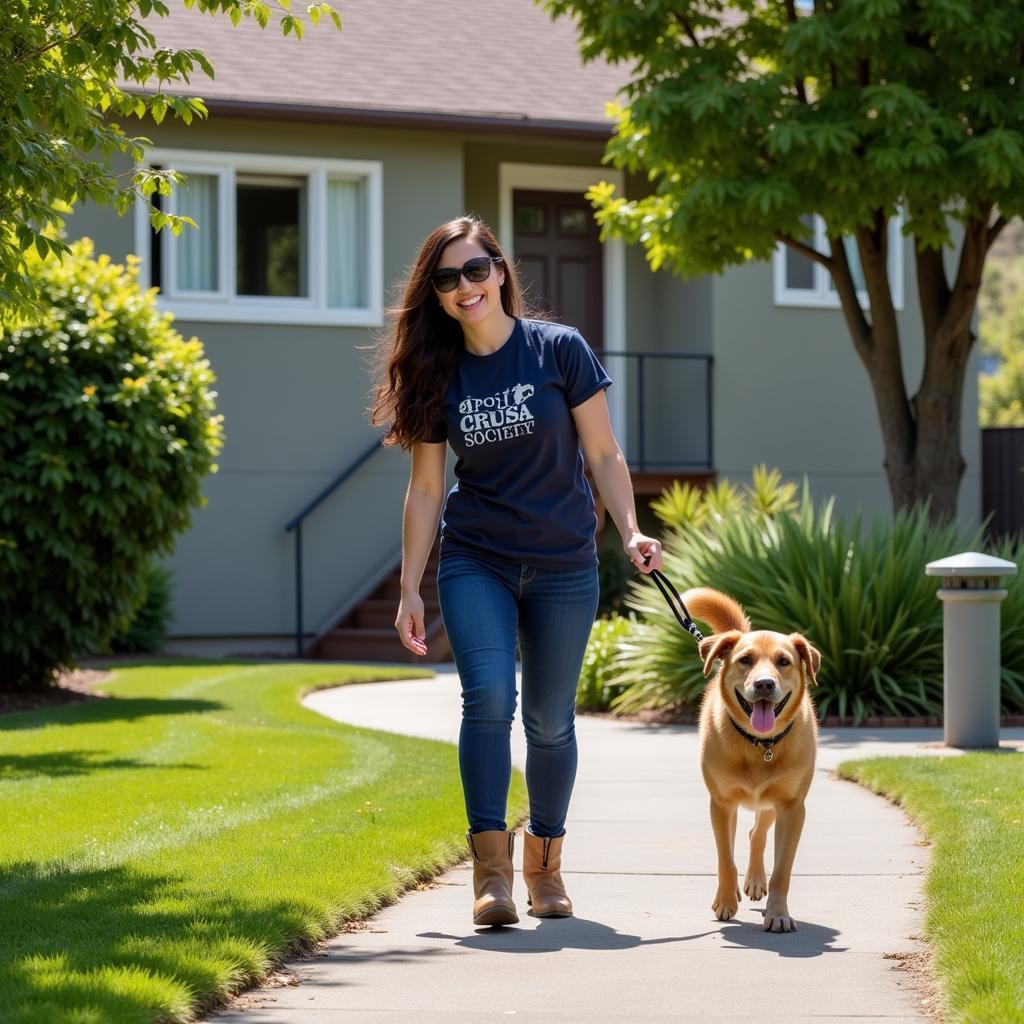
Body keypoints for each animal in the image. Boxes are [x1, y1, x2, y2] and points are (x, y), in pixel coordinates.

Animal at [679, 589, 823, 933]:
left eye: (783, 662)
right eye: (745, 660)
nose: (764, 684)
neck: (760, 744)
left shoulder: (792, 808)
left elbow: (783, 869)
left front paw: (779, 914)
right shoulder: (720, 804)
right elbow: (725, 859)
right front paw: (725, 901)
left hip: (770, 804)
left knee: (757, 833)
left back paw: (756, 881)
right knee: (738, 842)